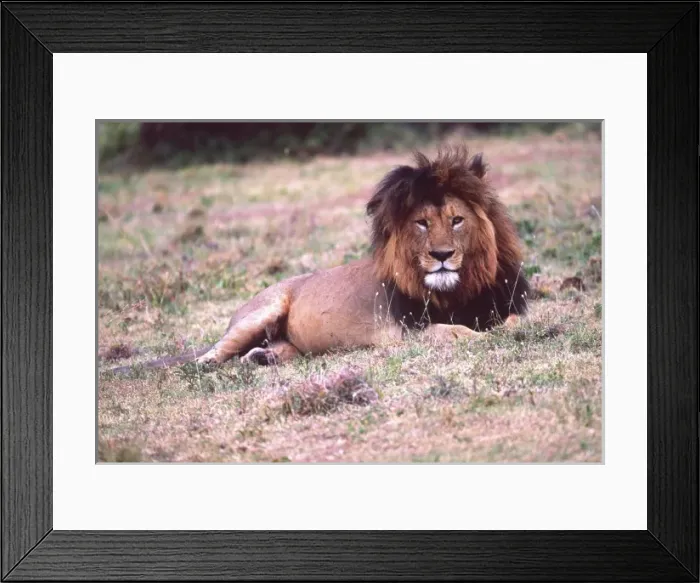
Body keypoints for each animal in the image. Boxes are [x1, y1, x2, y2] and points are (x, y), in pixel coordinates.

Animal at [109, 145, 529, 373]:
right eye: (422, 223)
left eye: (457, 220)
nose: (441, 256)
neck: (457, 289)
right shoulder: (404, 333)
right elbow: (455, 332)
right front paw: (478, 335)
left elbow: (512, 322)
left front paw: (509, 331)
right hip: (261, 312)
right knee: (210, 355)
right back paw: (211, 365)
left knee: (271, 352)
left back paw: (261, 359)